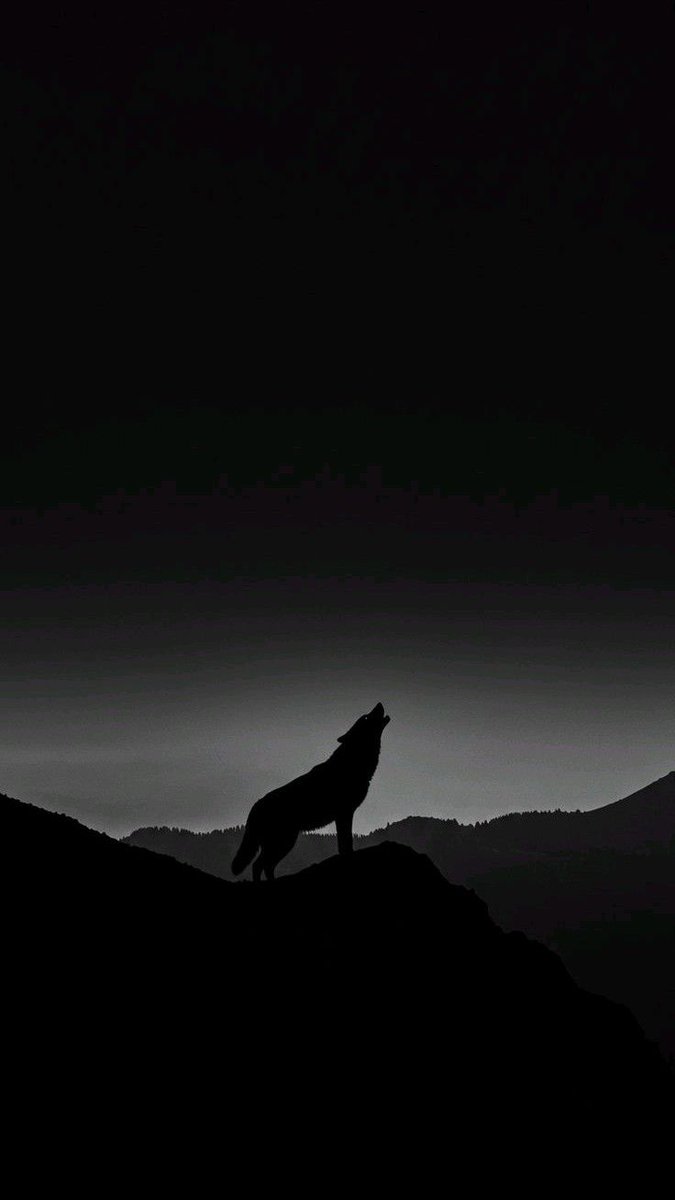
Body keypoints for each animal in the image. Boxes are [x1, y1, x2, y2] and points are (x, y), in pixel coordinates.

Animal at [231, 702, 391, 881]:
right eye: (366, 717)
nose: (379, 703)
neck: (353, 762)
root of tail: (255, 806)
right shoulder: (344, 813)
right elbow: (346, 842)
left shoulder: (343, 814)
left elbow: (343, 843)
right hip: (284, 842)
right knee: (259, 865)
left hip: (284, 842)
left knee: (263, 865)